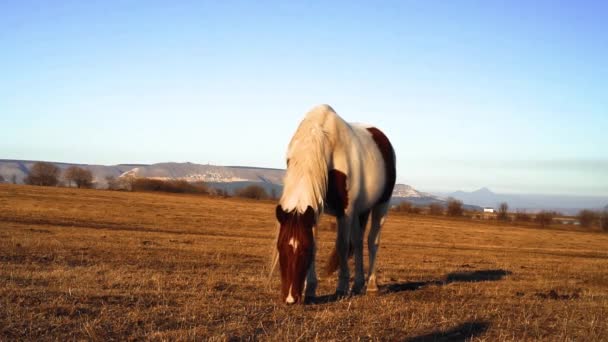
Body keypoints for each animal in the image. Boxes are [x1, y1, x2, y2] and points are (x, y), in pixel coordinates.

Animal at [270, 104, 394, 304]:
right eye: (280, 248)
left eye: (304, 250)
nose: (290, 299)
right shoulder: (314, 210)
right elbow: (321, 243)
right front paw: (310, 289)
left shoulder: (346, 211)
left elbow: (342, 245)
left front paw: (341, 288)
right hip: (361, 211)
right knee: (358, 242)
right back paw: (357, 284)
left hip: (381, 205)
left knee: (372, 241)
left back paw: (371, 285)